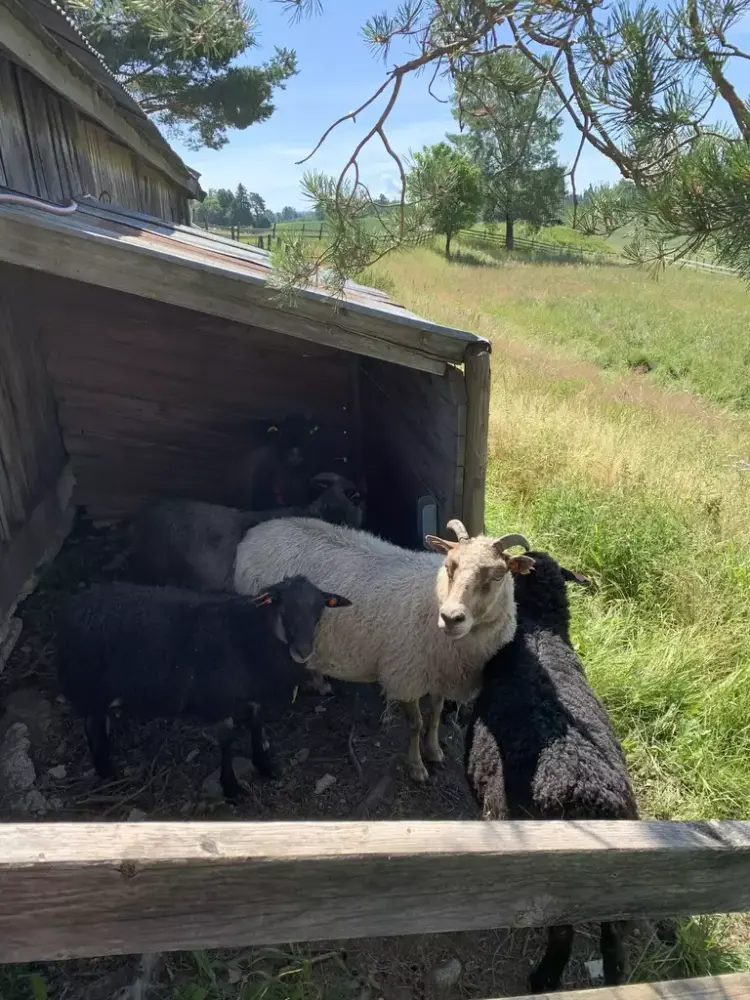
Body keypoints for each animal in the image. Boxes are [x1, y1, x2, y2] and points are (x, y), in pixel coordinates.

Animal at [57, 576, 351, 801]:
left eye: (318, 613)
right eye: (282, 609)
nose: (303, 652)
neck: (251, 635)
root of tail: (73, 606)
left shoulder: (254, 696)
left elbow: (257, 729)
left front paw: (265, 766)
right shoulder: (219, 698)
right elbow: (226, 742)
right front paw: (231, 788)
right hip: (89, 684)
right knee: (92, 723)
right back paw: (106, 770)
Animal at [234, 515, 533, 783]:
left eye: (498, 575)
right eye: (450, 566)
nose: (451, 617)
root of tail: (254, 533)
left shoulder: (438, 672)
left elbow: (435, 714)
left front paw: (434, 751)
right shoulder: (406, 675)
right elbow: (416, 724)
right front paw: (417, 767)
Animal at [464, 549, 637, 993]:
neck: (540, 629)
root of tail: (584, 792)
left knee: (562, 930)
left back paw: (545, 976)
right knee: (615, 932)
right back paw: (615, 978)